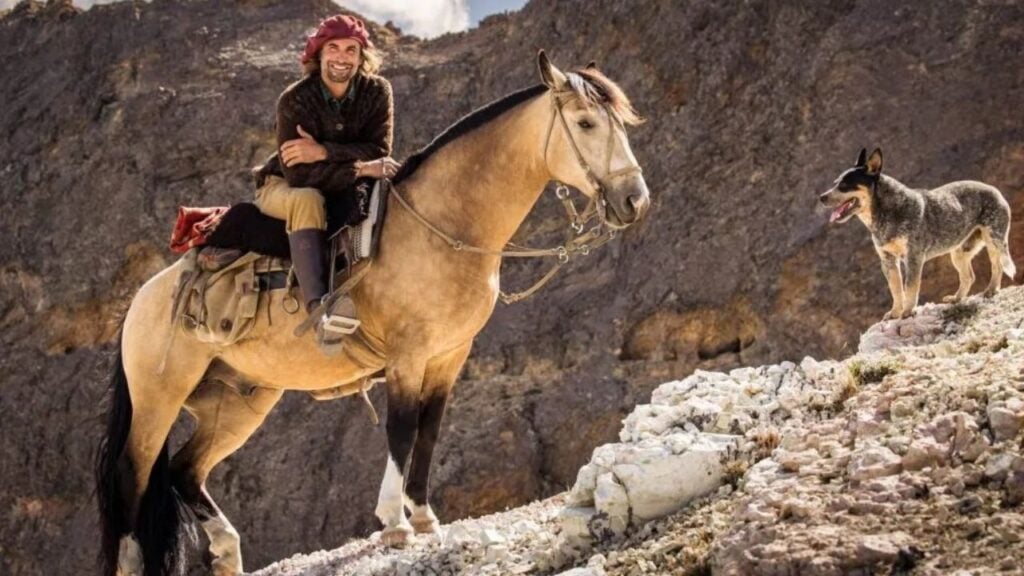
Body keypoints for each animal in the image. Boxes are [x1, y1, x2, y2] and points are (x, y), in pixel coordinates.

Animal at [96, 51, 650, 576]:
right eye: (585, 123)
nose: (634, 200)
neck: (439, 224)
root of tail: (142, 300)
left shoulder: (449, 356)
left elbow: (429, 430)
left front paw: (423, 516)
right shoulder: (407, 356)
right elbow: (401, 430)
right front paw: (394, 523)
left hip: (237, 403)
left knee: (185, 471)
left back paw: (229, 553)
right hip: (159, 397)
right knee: (132, 474)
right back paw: (133, 562)